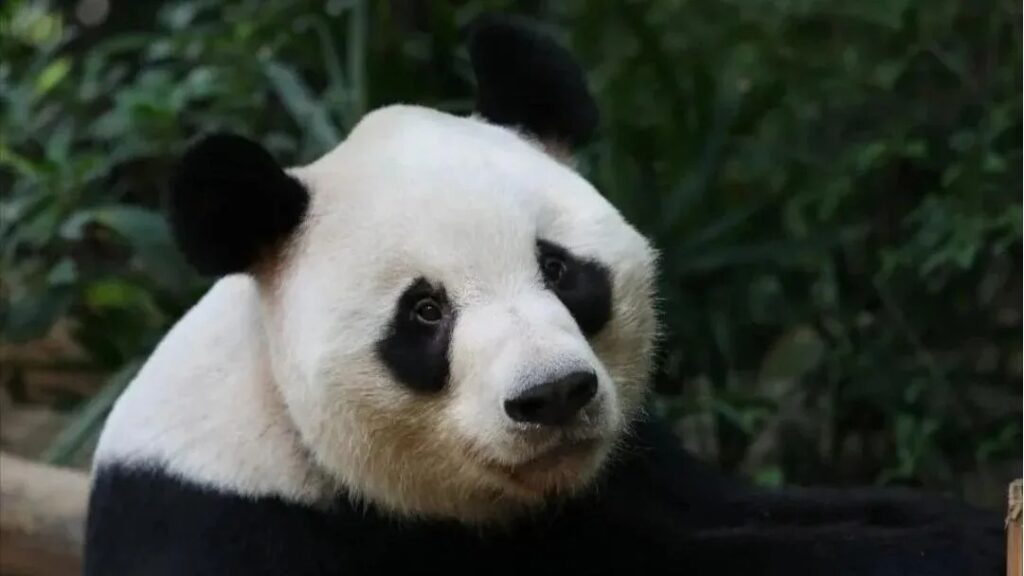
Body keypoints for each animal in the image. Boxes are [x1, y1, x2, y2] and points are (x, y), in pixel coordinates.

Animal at [84, 15, 1003, 576]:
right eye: (425, 311)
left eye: (560, 269)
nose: (553, 396)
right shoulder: (246, 528)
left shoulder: (630, 470)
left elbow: (751, 510)